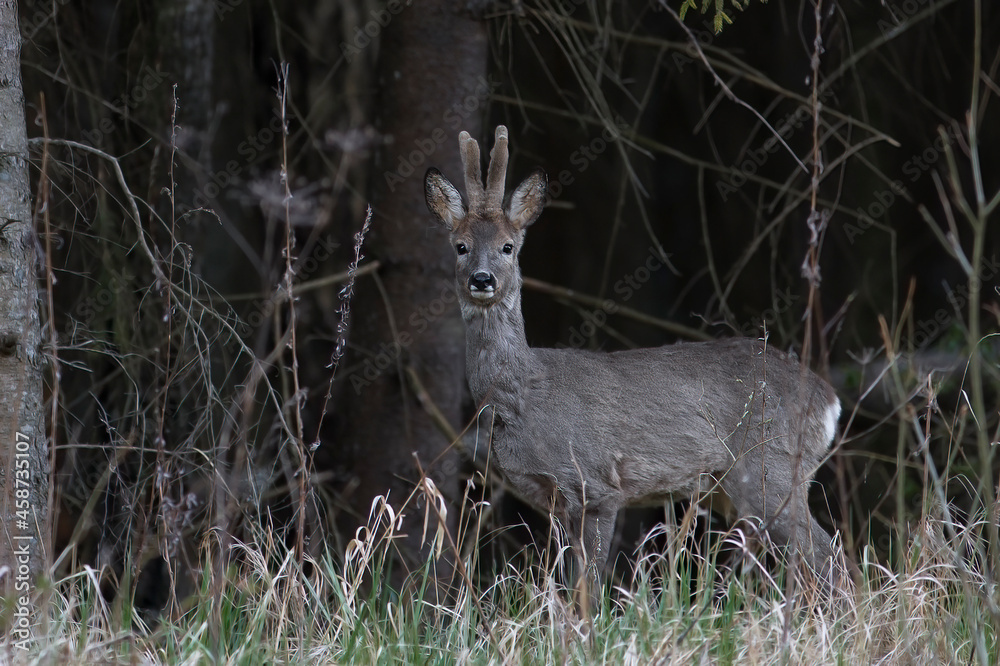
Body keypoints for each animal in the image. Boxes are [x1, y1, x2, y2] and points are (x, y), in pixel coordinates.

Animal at [424, 125, 845, 609]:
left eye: (508, 247)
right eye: (461, 246)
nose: (482, 279)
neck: (525, 397)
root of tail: (829, 400)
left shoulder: (596, 484)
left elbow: (588, 588)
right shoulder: (554, 500)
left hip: (770, 467)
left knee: (830, 557)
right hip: (735, 488)